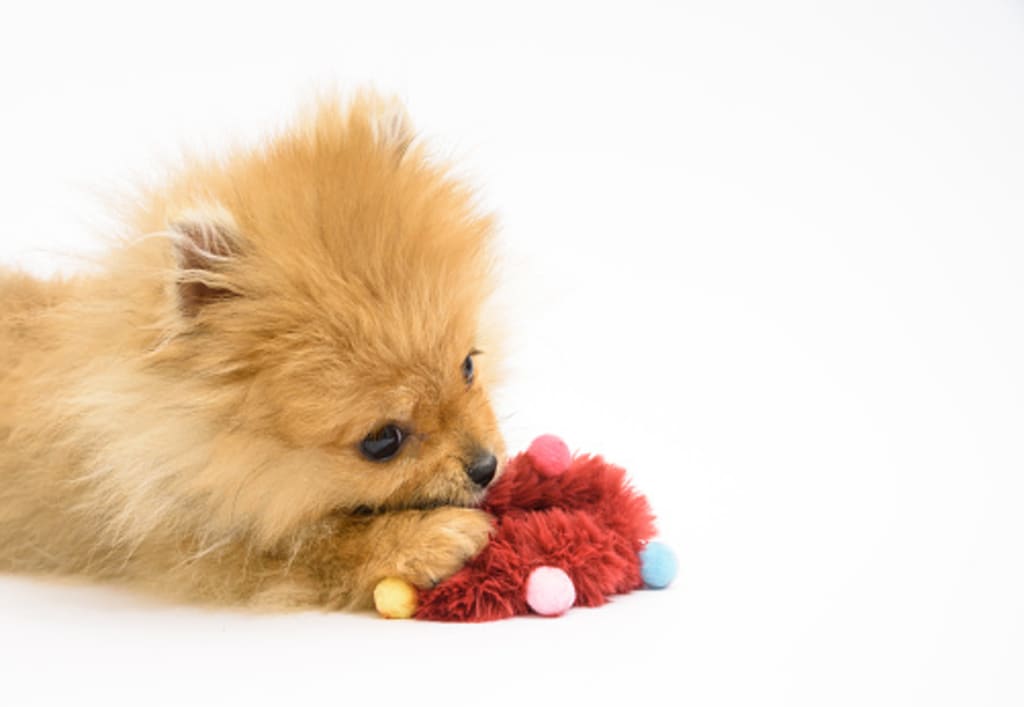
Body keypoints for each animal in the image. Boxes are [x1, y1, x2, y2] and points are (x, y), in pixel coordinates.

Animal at [0, 93, 504, 609]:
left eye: (468, 366)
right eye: (383, 441)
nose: (486, 467)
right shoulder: (192, 545)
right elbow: (315, 545)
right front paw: (423, 538)